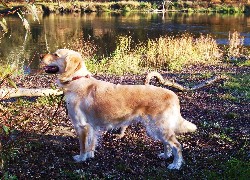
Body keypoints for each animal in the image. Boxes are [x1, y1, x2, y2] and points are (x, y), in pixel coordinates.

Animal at [40, 48, 197, 169]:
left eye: (56, 54)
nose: (40, 56)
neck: (76, 80)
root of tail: (173, 94)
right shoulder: (91, 126)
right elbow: (91, 144)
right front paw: (90, 156)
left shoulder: (81, 126)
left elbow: (83, 146)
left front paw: (81, 158)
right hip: (155, 128)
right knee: (168, 144)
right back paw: (165, 155)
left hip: (158, 126)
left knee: (177, 145)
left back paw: (175, 165)